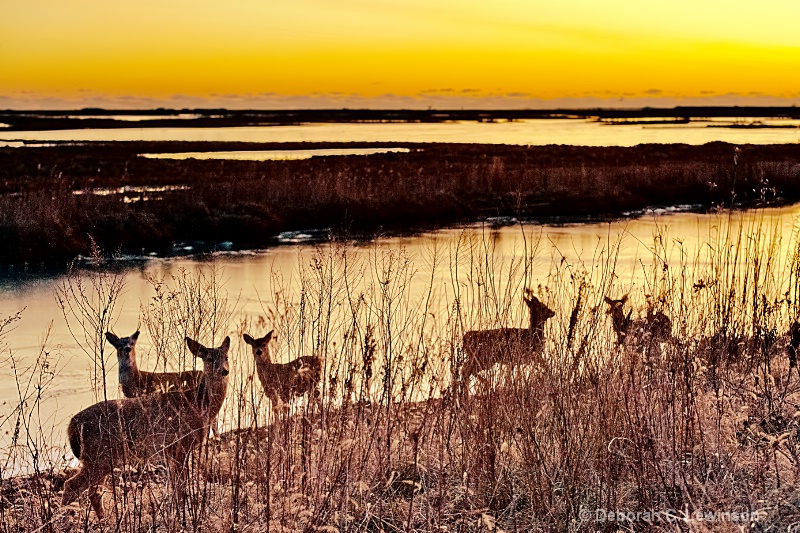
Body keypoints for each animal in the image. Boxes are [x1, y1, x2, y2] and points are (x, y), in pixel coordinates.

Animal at [61, 336, 231, 516]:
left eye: (226, 357)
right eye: (209, 359)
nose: (224, 371)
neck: (198, 404)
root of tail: (72, 425)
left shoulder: (172, 451)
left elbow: (175, 486)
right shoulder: (180, 445)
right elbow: (181, 486)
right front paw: (182, 514)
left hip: (102, 458)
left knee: (94, 492)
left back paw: (104, 519)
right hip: (99, 456)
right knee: (71, 486)